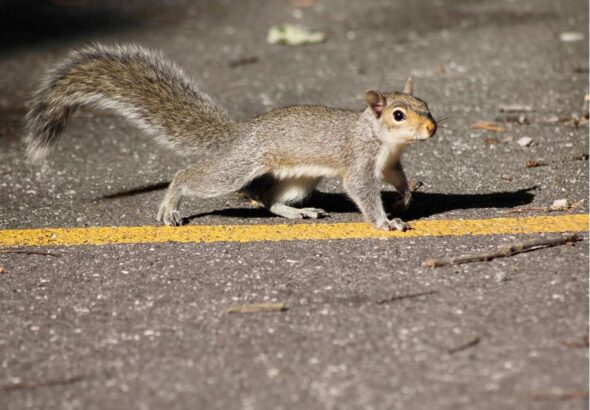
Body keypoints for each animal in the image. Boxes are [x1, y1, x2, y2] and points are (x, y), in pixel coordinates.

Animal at [24, 45, 440, 231]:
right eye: (398, 115)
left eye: (426, 105)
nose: (432, 129)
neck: (378, 136)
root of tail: (239, 133)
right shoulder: (357, 161)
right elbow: (362, 192)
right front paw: (385, 222)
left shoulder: (390, 162)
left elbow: (397, 179)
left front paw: (405, 197)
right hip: (236, 168)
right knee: (190, 177)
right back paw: (170, 206)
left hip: (298, 180)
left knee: (269, 200)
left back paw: (298, 211)